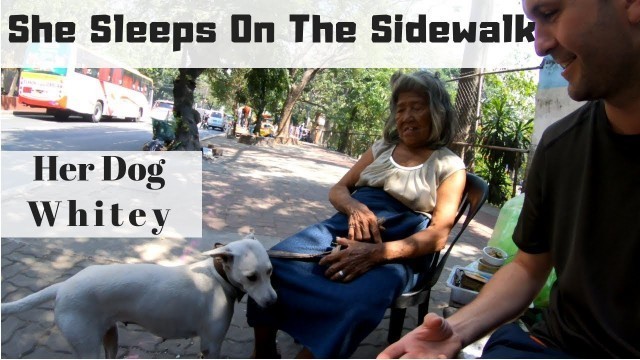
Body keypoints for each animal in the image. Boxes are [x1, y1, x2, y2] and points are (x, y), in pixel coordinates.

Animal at [2, 236, 278, 358]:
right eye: (251, 277)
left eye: (270, 271)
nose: (274, 302)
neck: (218, 276)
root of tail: (63, 286)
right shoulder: (211, 345)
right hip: (87, 346)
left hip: (110, 337)